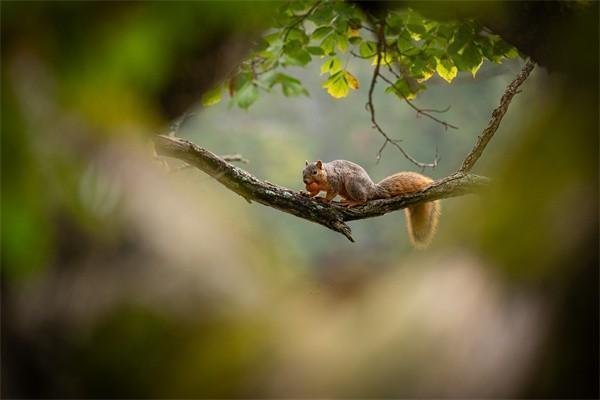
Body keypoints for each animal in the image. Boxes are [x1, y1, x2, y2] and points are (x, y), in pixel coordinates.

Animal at [304, 159, 440, 247]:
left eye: (315, 172)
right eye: (303, 171)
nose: (305, 181)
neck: (322, 178)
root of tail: (371, 189)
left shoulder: (334, 181)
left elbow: (331, 193)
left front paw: (325, 200)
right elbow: (314, 192)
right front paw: (307, 194)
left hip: (352, 183)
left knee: (364, 199)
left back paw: (353, 202)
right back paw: (346, 200)